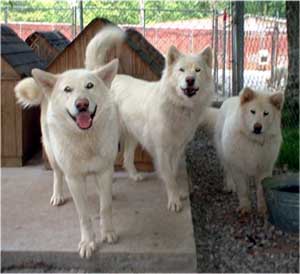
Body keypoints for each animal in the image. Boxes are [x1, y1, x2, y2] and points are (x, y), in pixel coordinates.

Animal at [14, 56, 119, 258]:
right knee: (57, 174)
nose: (82, 104)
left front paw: (108, 232)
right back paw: (57, 195)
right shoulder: (74, 179)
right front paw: (88, 242)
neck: (85, 140)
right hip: (52, 155)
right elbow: (84, 216)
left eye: (89, 85)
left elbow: (106, 207)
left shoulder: (104, 171)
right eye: (68, 89)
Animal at [85, 27, 214, 212]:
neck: (179, 106)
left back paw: (134, 176)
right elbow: (169, 177)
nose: (190, 80)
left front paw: (179, 194)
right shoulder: (162, 150)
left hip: (132, 135)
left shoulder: (177, 149)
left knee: (127, 158)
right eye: (181, 70)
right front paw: (174, 200)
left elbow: (174, 174)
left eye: (197, 70)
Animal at [216, 86, 284, 215]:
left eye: (266, 113)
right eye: (252, 111)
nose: (257, 127)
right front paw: (245, 208)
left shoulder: (264, 170)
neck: (253, 142)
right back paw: (230, 186)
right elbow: (243, 190)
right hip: (224, 154)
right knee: (227, 170)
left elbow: (261, 191)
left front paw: (262, 209)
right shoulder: (238, 169)